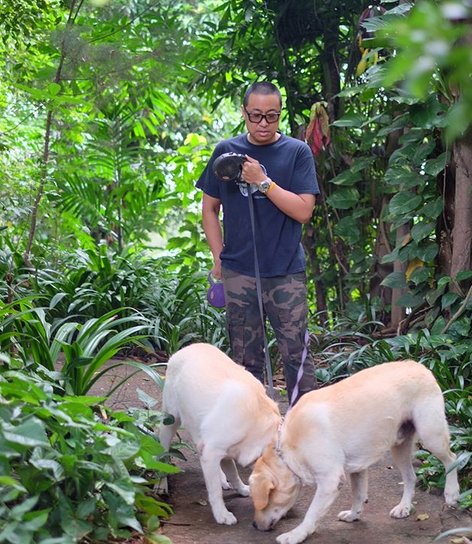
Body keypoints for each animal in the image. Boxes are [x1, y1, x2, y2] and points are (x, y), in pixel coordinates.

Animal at [157, 342, 282, 524]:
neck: (256, 423)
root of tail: (187, 347)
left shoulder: (224, 450)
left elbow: (233, 472)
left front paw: (241, 488)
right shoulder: (212, 451)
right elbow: (215, 490)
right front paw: (222, 514)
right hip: (170, 421)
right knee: (163, 454)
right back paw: (161, 485)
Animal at [251, 360, 460, 540]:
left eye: (265, 499)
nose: (253, 525)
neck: (287, 449)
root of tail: (418, 365)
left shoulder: (330, 481)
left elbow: (311, 514)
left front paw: (296, 535)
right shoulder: (357, 468)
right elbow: (359, 494)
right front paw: (354, 515)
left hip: (431, 436)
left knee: (452, 458)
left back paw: (452, 493)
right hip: (399, 448)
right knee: (411, 477)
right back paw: (404, 507)